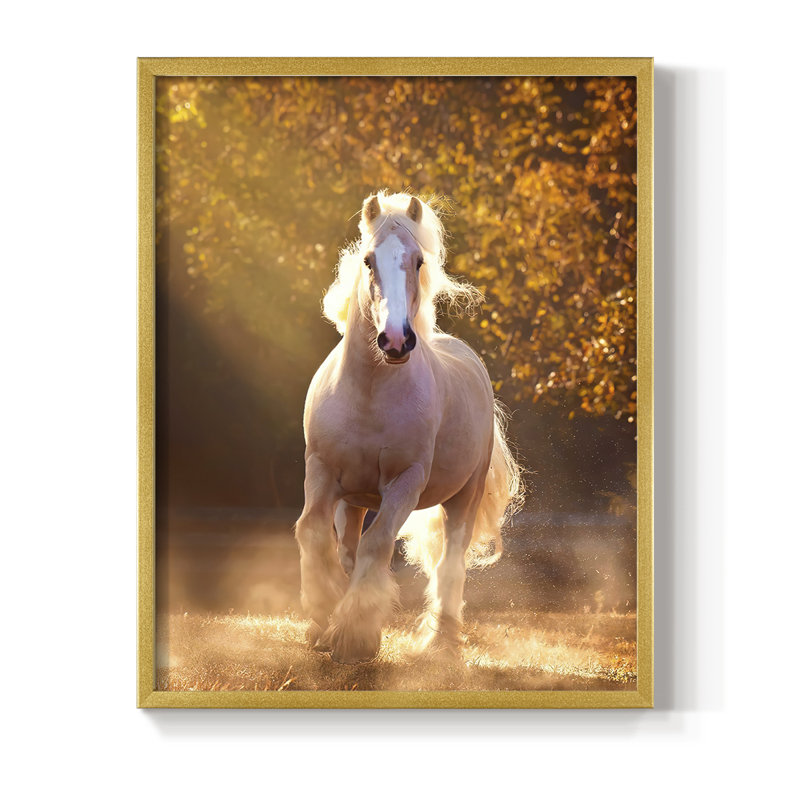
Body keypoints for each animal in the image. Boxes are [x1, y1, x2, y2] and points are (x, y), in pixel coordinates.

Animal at [295, 191, 522, 664]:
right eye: (367, 260)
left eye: (418, 261)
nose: (396, 341)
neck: (369, 393)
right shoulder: (321, 470)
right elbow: (312, 532)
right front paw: (323, 615)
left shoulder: (404, 482)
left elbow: (377, 543)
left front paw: (356, 636)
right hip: (353, 499)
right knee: (347, 547)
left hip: (464, 497)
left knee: (451, 562)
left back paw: (442, 641)